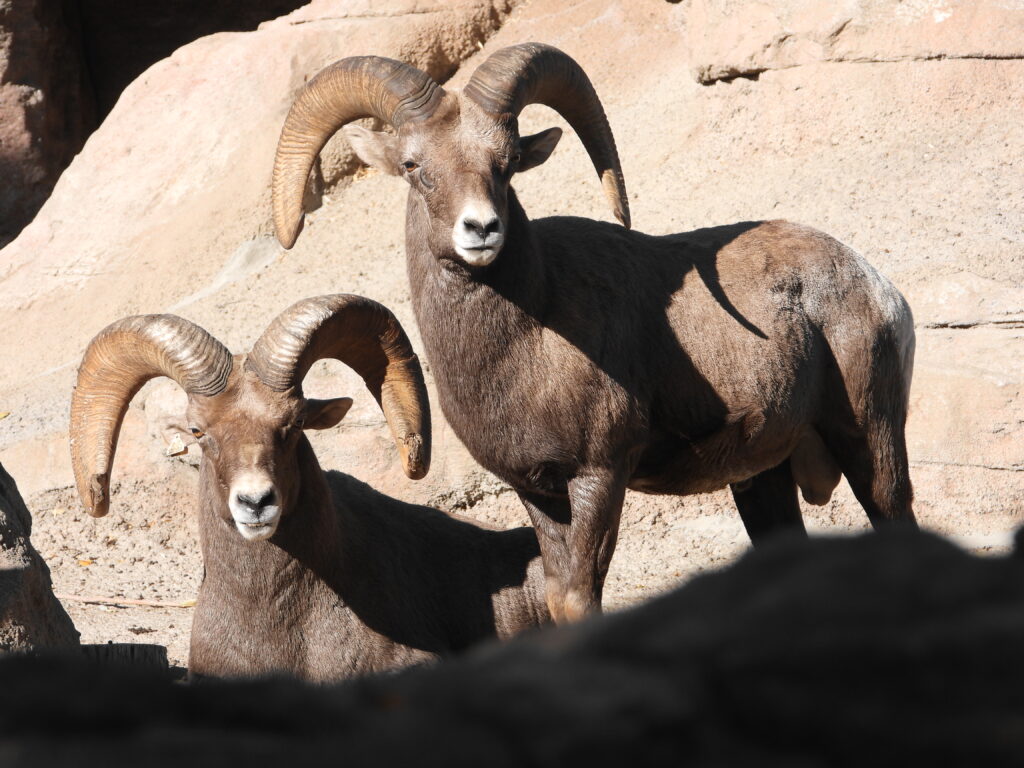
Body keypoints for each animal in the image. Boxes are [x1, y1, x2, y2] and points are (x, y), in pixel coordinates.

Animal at [270, 43, 917, 624]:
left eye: (506, 163)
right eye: (413, 167)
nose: (481, 230)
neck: (528, 339)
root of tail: (878, 285)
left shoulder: (599, 477)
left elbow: (579, 600)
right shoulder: (539, 493)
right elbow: (557, 596)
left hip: (869, 441)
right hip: (762, 478)